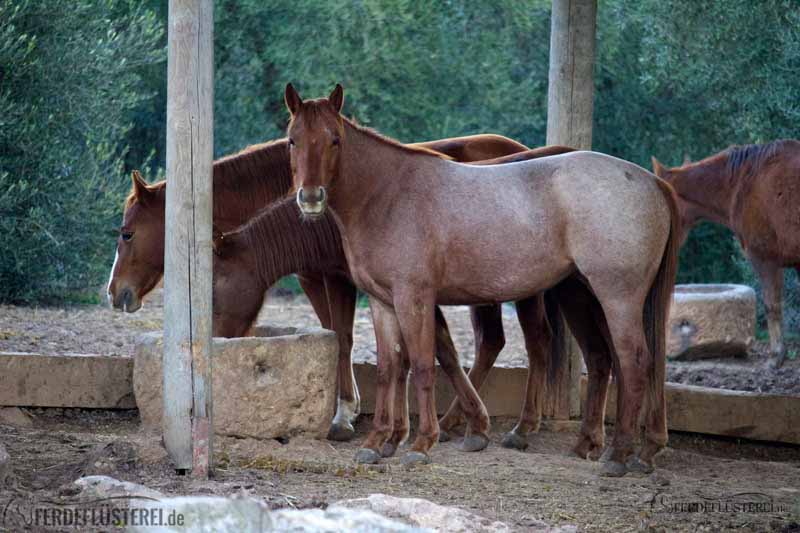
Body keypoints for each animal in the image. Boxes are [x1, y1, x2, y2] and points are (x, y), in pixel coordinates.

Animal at [108, 134, 568, 440]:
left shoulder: (373, 283)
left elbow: (402, 344)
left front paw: (349, 416)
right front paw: (357, 412)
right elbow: (347, 338)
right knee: (496, 342)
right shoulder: (326, 277)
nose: (115, 293)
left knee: (530, 341)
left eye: (127, 233)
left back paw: (519, 426)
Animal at [284, 85, 680, 476]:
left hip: (618, 297)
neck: (388, 195)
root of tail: (653, 182)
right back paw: (616, 448)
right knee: (612, 360)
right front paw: (377, 442)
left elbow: (424, 365)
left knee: (634, 362)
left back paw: (618, 454)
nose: (311, 197)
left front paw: (422, 443)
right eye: (292, 140)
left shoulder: (414, 298)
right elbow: (388, 369)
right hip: (587, 294)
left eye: (335, 139)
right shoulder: (383, 303)